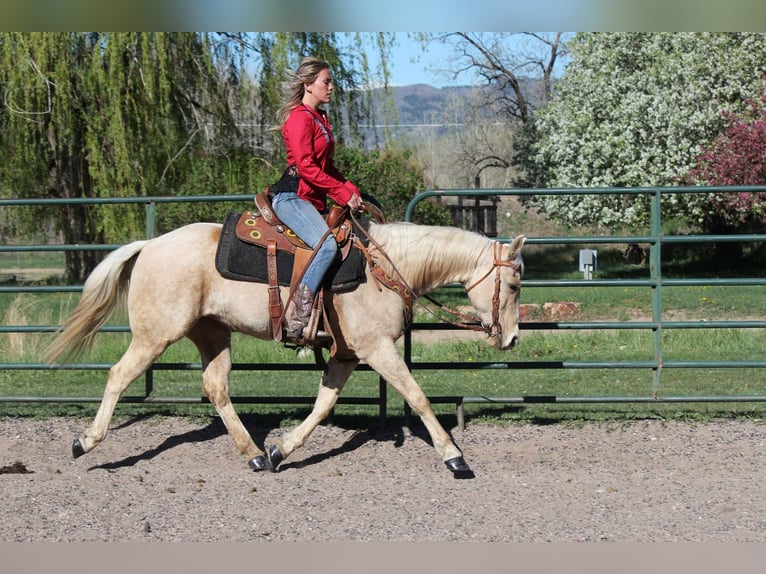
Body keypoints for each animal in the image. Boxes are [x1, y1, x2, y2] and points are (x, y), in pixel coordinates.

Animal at [45, 217, 526, 478]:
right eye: (515, 284)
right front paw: (455, 458)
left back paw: (255, 455)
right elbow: (418, 397)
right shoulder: (378, 350)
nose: (512, 338)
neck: (385, 267)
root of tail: (149, 245)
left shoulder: (347, 355)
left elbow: (323, 405)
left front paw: (282, 449)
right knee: (118, 376)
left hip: (211, 334)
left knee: (216, 388)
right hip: (155, 335)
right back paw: (85, 442)